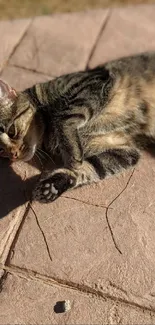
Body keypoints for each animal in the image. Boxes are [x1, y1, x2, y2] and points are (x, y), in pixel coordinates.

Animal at [0, 52, 155, 201]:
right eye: (2, 152)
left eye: (12, 131)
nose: (13, 155)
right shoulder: (125, 151)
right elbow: (92, 168)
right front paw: (54, 186)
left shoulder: (92, 83)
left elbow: (65, 119)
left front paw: (72, 158)